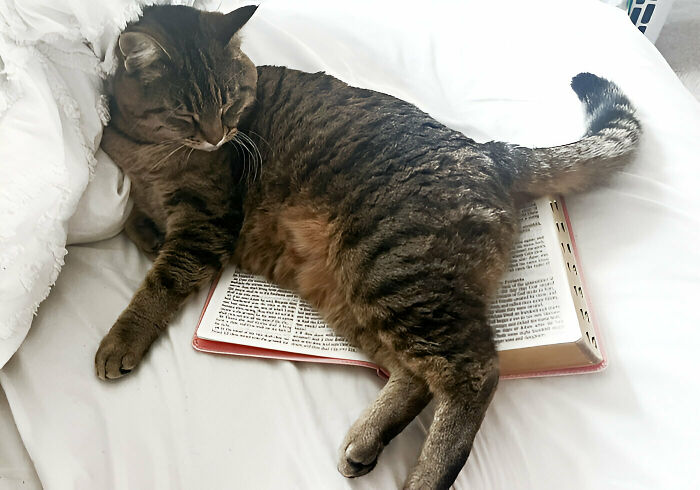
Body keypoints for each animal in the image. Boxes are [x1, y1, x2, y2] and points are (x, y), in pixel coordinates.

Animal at [95, 4, 644, 490]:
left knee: (474, 371)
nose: (218, 137)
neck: (148, 150)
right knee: (416, 374)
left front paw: (121, 338)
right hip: (355, 293)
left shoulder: (207, 224)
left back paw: (424, 478)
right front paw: (148, 231)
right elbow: (135, 221)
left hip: (394, 274)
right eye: (186, 114)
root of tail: (489, 151)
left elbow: (159, 284)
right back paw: (367, 440)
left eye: (231, 104)